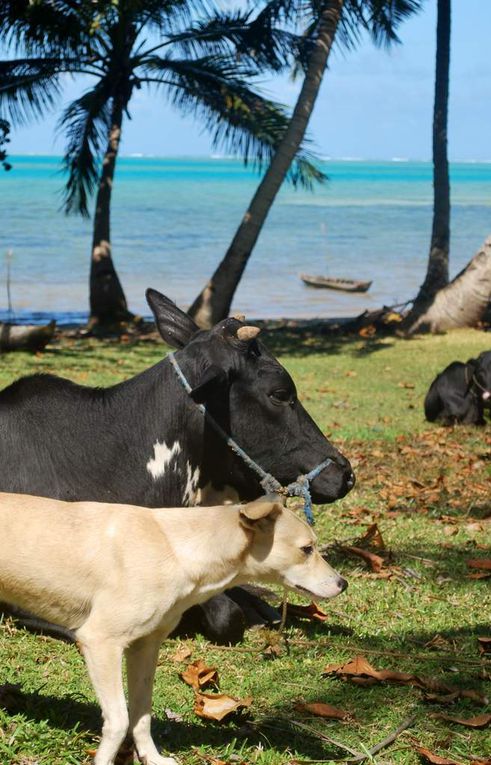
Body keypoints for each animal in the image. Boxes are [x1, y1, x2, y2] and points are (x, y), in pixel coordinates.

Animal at [0, 492, 346, 764]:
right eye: (307, 549)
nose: (343, 583)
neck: (176, 547)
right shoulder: (100, 642)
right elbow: (119, 719)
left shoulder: (145, 646)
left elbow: (140, 714)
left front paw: (151, 757)